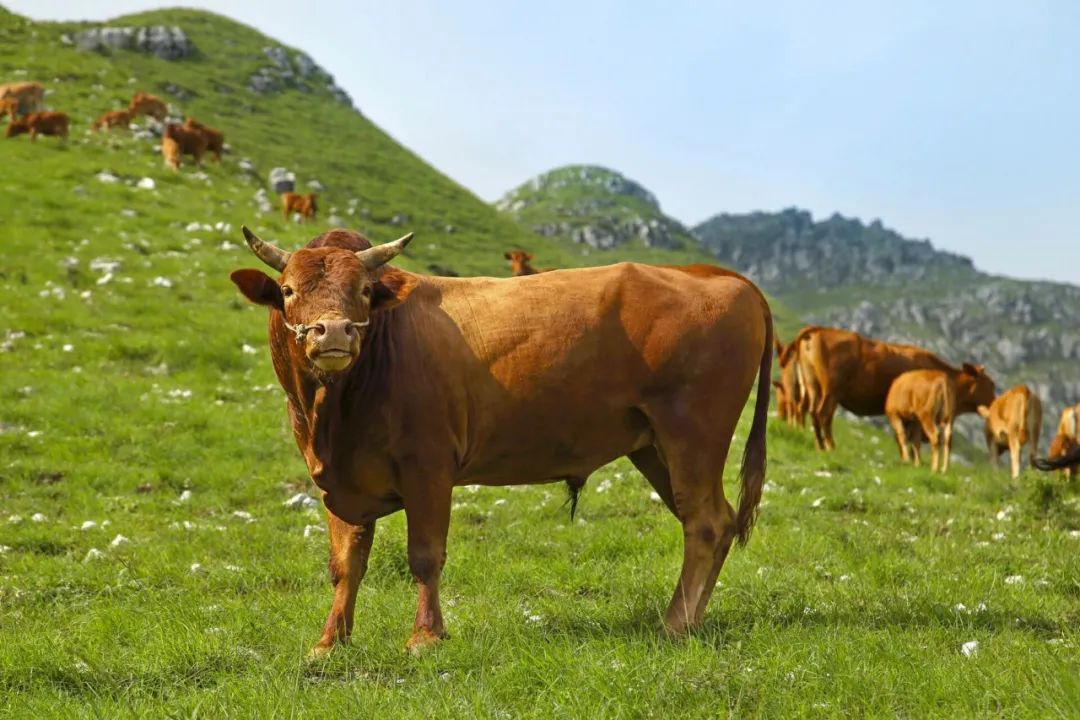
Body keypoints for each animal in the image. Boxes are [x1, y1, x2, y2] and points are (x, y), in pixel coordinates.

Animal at [232, 227, 773, 656]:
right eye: (287, 290)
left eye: (364, 290)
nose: (334, 333)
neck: (334, 415)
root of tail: (714, 274)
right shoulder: (340, 482)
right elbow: (346, 564)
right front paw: (330, 641)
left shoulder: (428, 466)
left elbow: (425, 555)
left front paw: (426, 637)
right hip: (653, 445)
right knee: (715, 521)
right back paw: (691, 620)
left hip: (693, 433)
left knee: (705, 522)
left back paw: (675, 624)